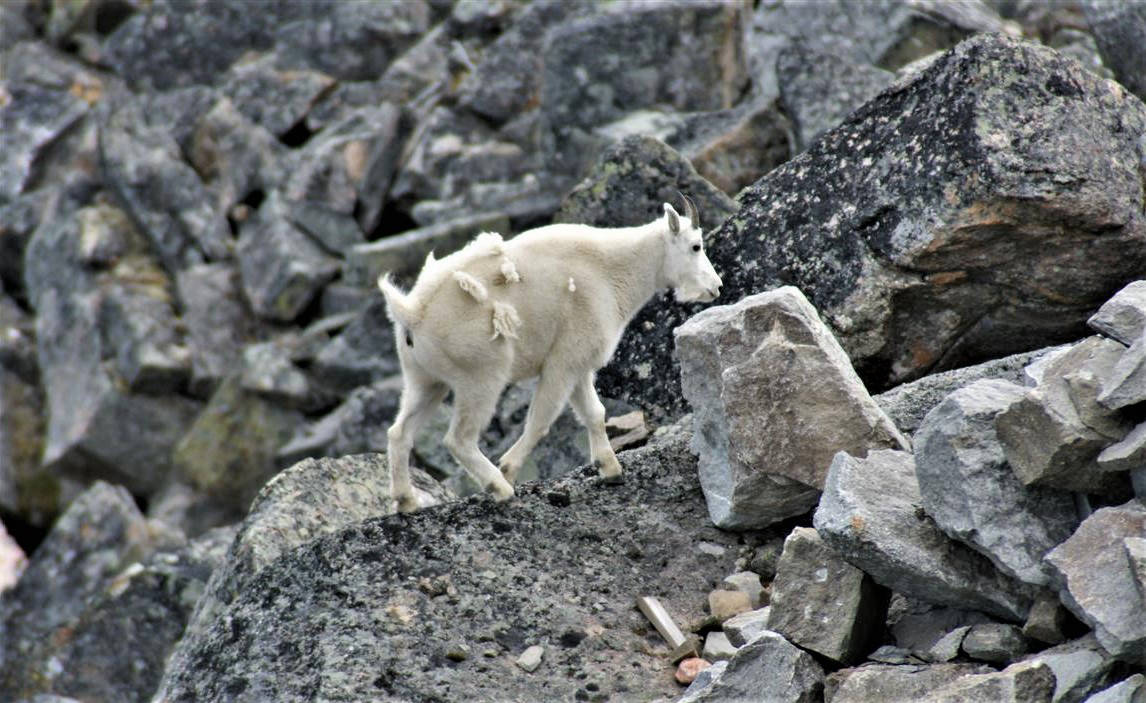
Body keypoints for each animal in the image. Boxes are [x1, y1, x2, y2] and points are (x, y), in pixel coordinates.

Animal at [380, 196, 719, 509]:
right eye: (696, 246)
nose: (716, 286)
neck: (613, 269)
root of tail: (413, 314)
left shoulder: (580, 365)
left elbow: (595, 413)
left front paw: (610, 469)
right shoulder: (564, 361)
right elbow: (541, 420)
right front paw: (509, 467)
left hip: (425, 380)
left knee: (400, 431)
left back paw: (406, 500)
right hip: (481, 377)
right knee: (459, 438)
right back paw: (500, 486)